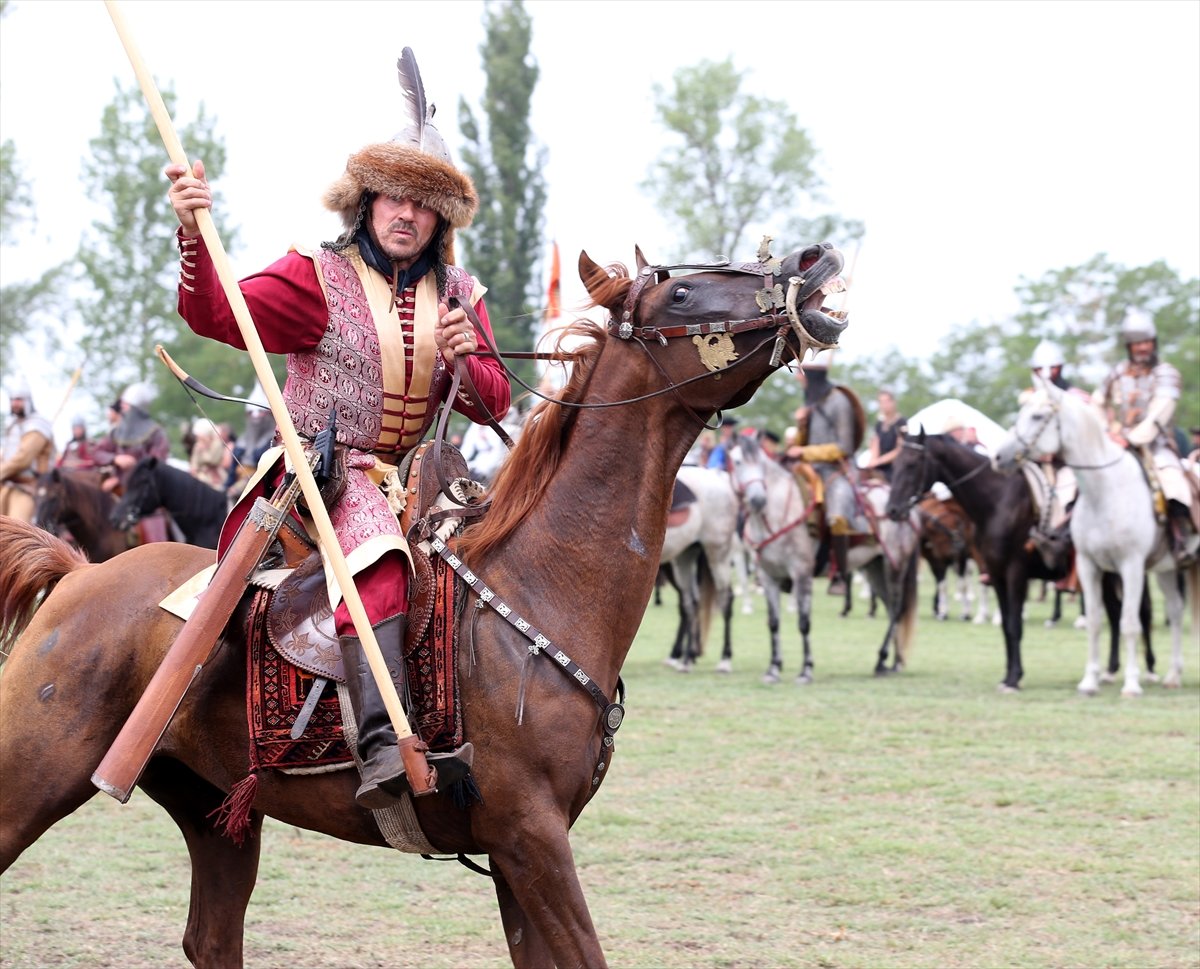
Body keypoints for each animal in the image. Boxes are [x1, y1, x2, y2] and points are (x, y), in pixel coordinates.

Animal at [0, 238, 849, 964]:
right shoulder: (533, 839)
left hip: (217, 814)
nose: (812, 261)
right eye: (679, 291)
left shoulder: (517, 857)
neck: (540, 586)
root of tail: (77, 575)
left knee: (211, 937)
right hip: (33, 781)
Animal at [993, 378, 1200, 695]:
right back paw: (1173, 676)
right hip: (1167, 569)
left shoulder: (1131, 567)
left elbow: (1129, 623)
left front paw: (1131, 684)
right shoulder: (1089, 566)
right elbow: (1094, 621)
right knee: (1176, 611)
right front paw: (1089, 681)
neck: (1107, 491)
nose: (998, 457)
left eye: (1038, 416)